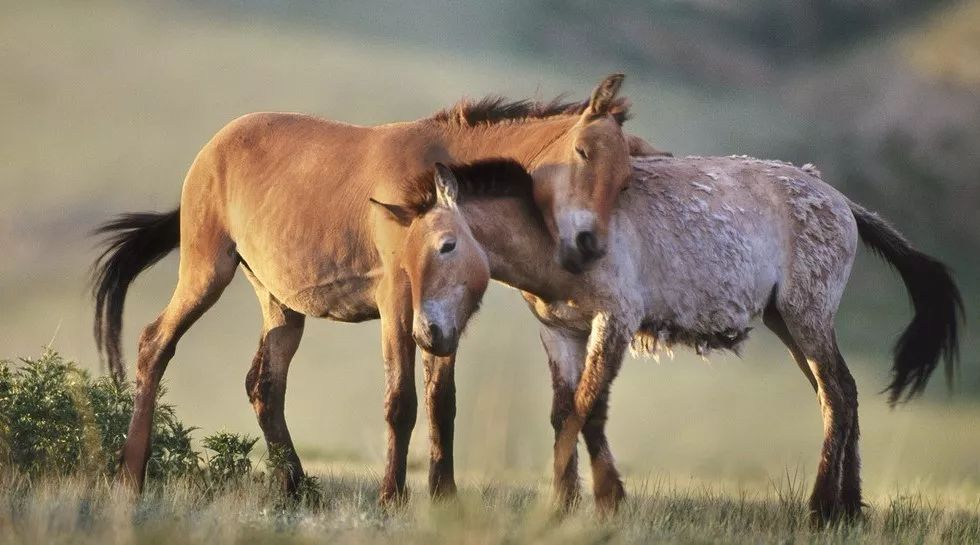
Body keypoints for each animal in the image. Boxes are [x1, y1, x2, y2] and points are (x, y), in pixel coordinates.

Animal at [94, 75, 636, 502]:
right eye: (583, 153)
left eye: (626, 177)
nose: (589, 244)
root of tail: (214, 149)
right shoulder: (398, 302)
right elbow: (401, 402)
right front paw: (391, 497)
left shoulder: (443, 317)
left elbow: (443, 404)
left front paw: (444, 496)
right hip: (207, 273)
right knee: (155, 344)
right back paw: (130, 475)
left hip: (279, 303)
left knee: (264, 384)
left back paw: (299, 488)